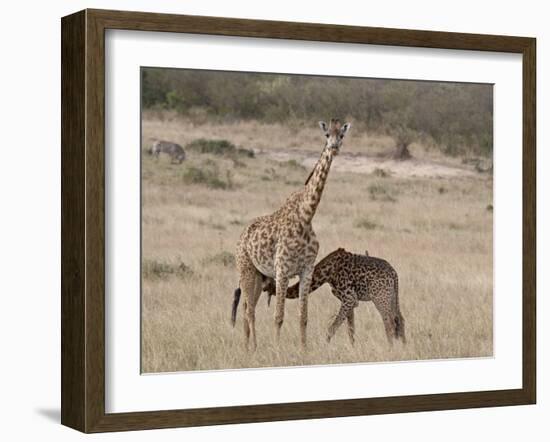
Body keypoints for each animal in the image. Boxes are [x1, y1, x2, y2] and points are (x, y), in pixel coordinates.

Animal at [235, 119, 352, 350]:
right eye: (326, 134)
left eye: (341, 135)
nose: (334, 147)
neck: (306, 216)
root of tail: (241, 237)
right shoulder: (282, 270)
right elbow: (278, 316)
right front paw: (277, 349)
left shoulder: (306, 269)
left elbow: (303, 316)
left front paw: (304, 349)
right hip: (246, 270)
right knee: (249, 310)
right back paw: (254, 347)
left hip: (260, 275)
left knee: (247, 308)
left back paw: (246, 346)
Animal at [236, 249, 406, 346]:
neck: (327, 273)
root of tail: (394, 274)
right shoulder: (350, 302)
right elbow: (350, 330)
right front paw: (353, 348)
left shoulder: (349, 298)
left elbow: (331, 328)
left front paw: (325, 347)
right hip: (392, 296)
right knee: (400, 320)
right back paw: (402, 348)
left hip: (380, 298)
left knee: (390, 323)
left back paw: (390, 349)